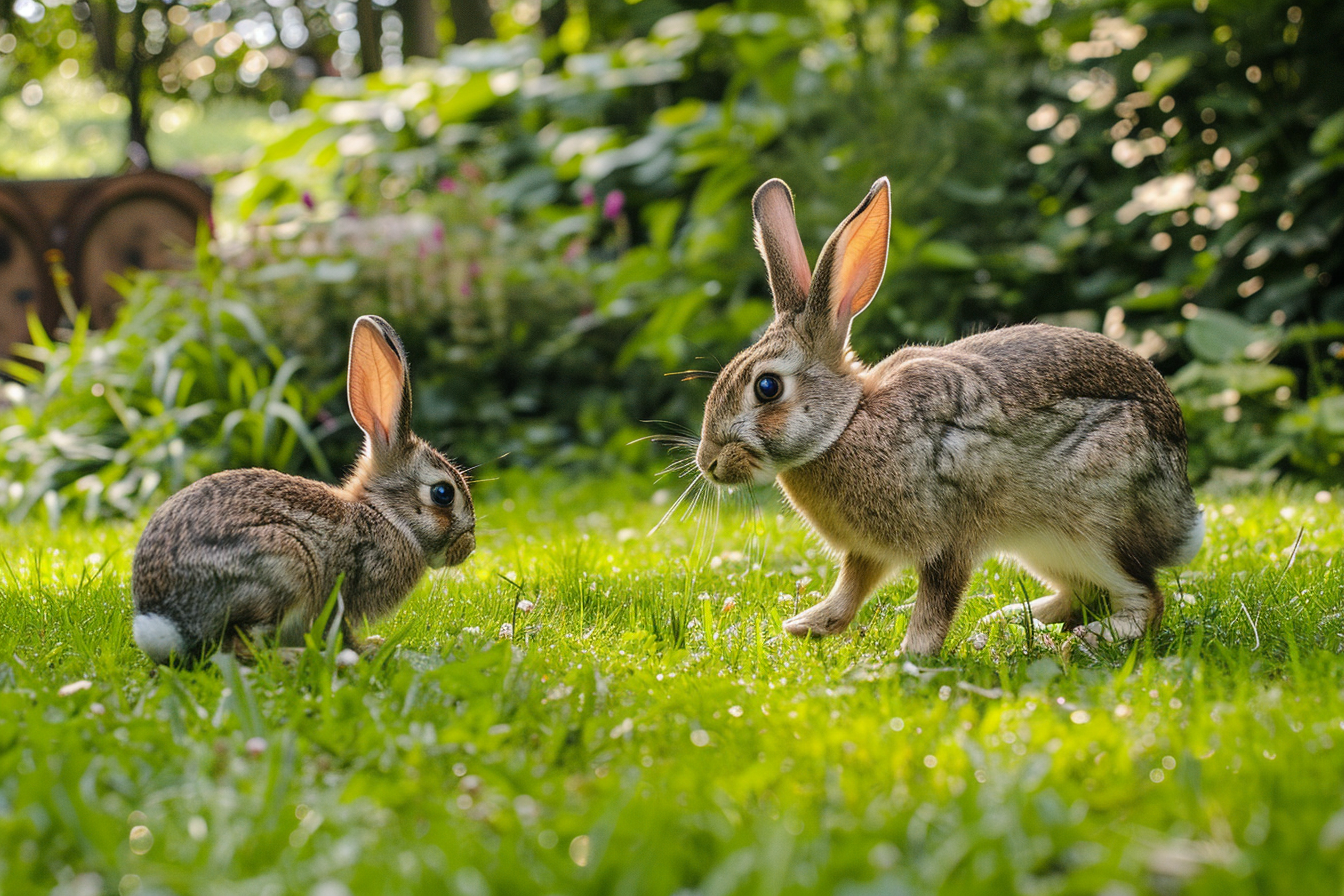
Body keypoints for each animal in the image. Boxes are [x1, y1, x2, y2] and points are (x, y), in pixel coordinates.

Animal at [131, 314, 476, 666]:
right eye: (443, 494)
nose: (468, 547)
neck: (386, 517)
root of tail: (164, 621)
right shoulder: (344, 590)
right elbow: (341, 630)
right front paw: (369, 649)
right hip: (283, 570)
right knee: (237, 650)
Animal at [694, 177, 1204, 656]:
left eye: (767, 387)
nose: (709, 463)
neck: (848, 423)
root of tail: (1183, 514)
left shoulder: (949, 540)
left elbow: (935, 603)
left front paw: (906, 656)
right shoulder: (866, 551)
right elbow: (851, 590)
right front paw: (805, 627)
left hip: (1094, 530)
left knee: (1145, 597)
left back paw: (1085, 639)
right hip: (1044, 546)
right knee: (1084, 593)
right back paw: (1005, 620)